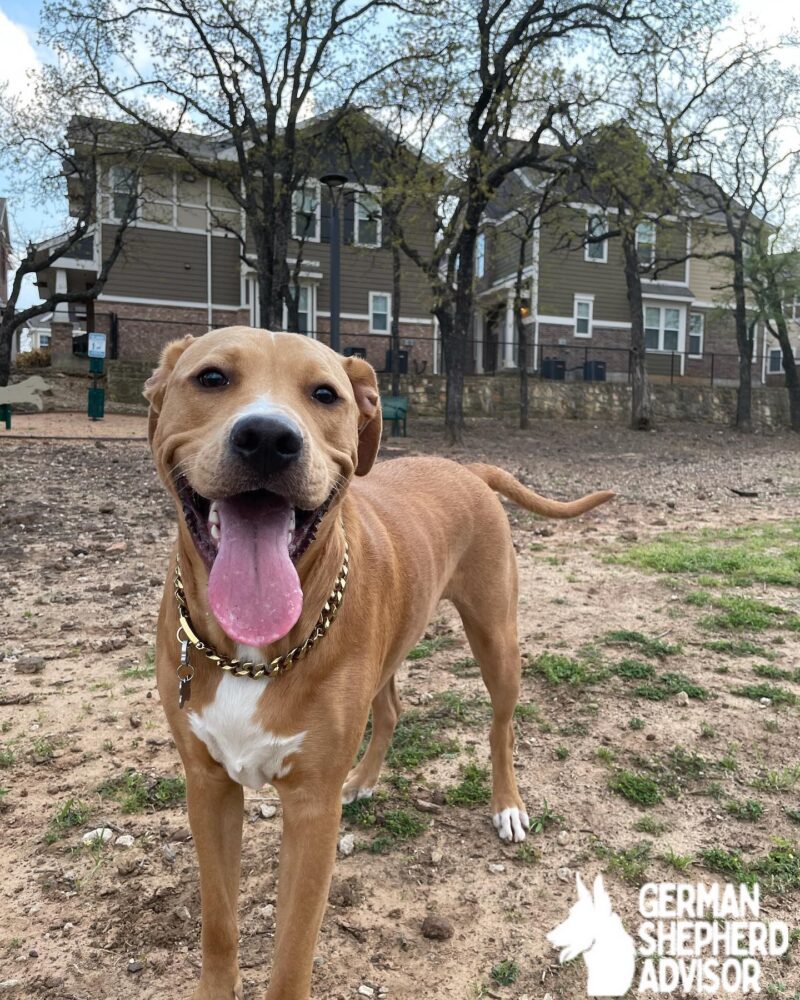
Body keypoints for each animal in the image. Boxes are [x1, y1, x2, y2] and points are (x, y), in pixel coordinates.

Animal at [145, 324, 612, 996]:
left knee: (500, 727)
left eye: (325, 394)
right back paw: (365, 779)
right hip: (393, 642)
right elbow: (219, 925)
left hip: (496, 638)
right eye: (211, 377)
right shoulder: (207, 787)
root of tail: (467, 468)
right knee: (390, 707)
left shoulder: (312, 810)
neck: (250, 656)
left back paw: (506, 806)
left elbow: (291, 957)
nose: (268, 438)